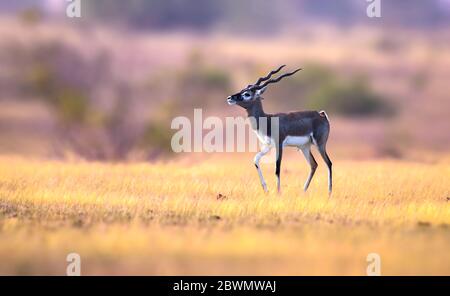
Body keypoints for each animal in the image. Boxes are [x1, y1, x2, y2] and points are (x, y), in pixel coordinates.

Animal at [227, 65, 332, 194]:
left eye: (247, 94)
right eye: (242, 90)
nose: (230, 98)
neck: (267, 119)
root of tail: (322, 115)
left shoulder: (279, 144)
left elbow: (277, 168)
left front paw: (278, 192)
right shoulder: (268, 146)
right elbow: (256, 160)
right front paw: (265, 189)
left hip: (320, 144)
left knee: (329, 163)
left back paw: (329, 193)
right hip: (304, 147)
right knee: (314, 165)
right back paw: (303, 191)